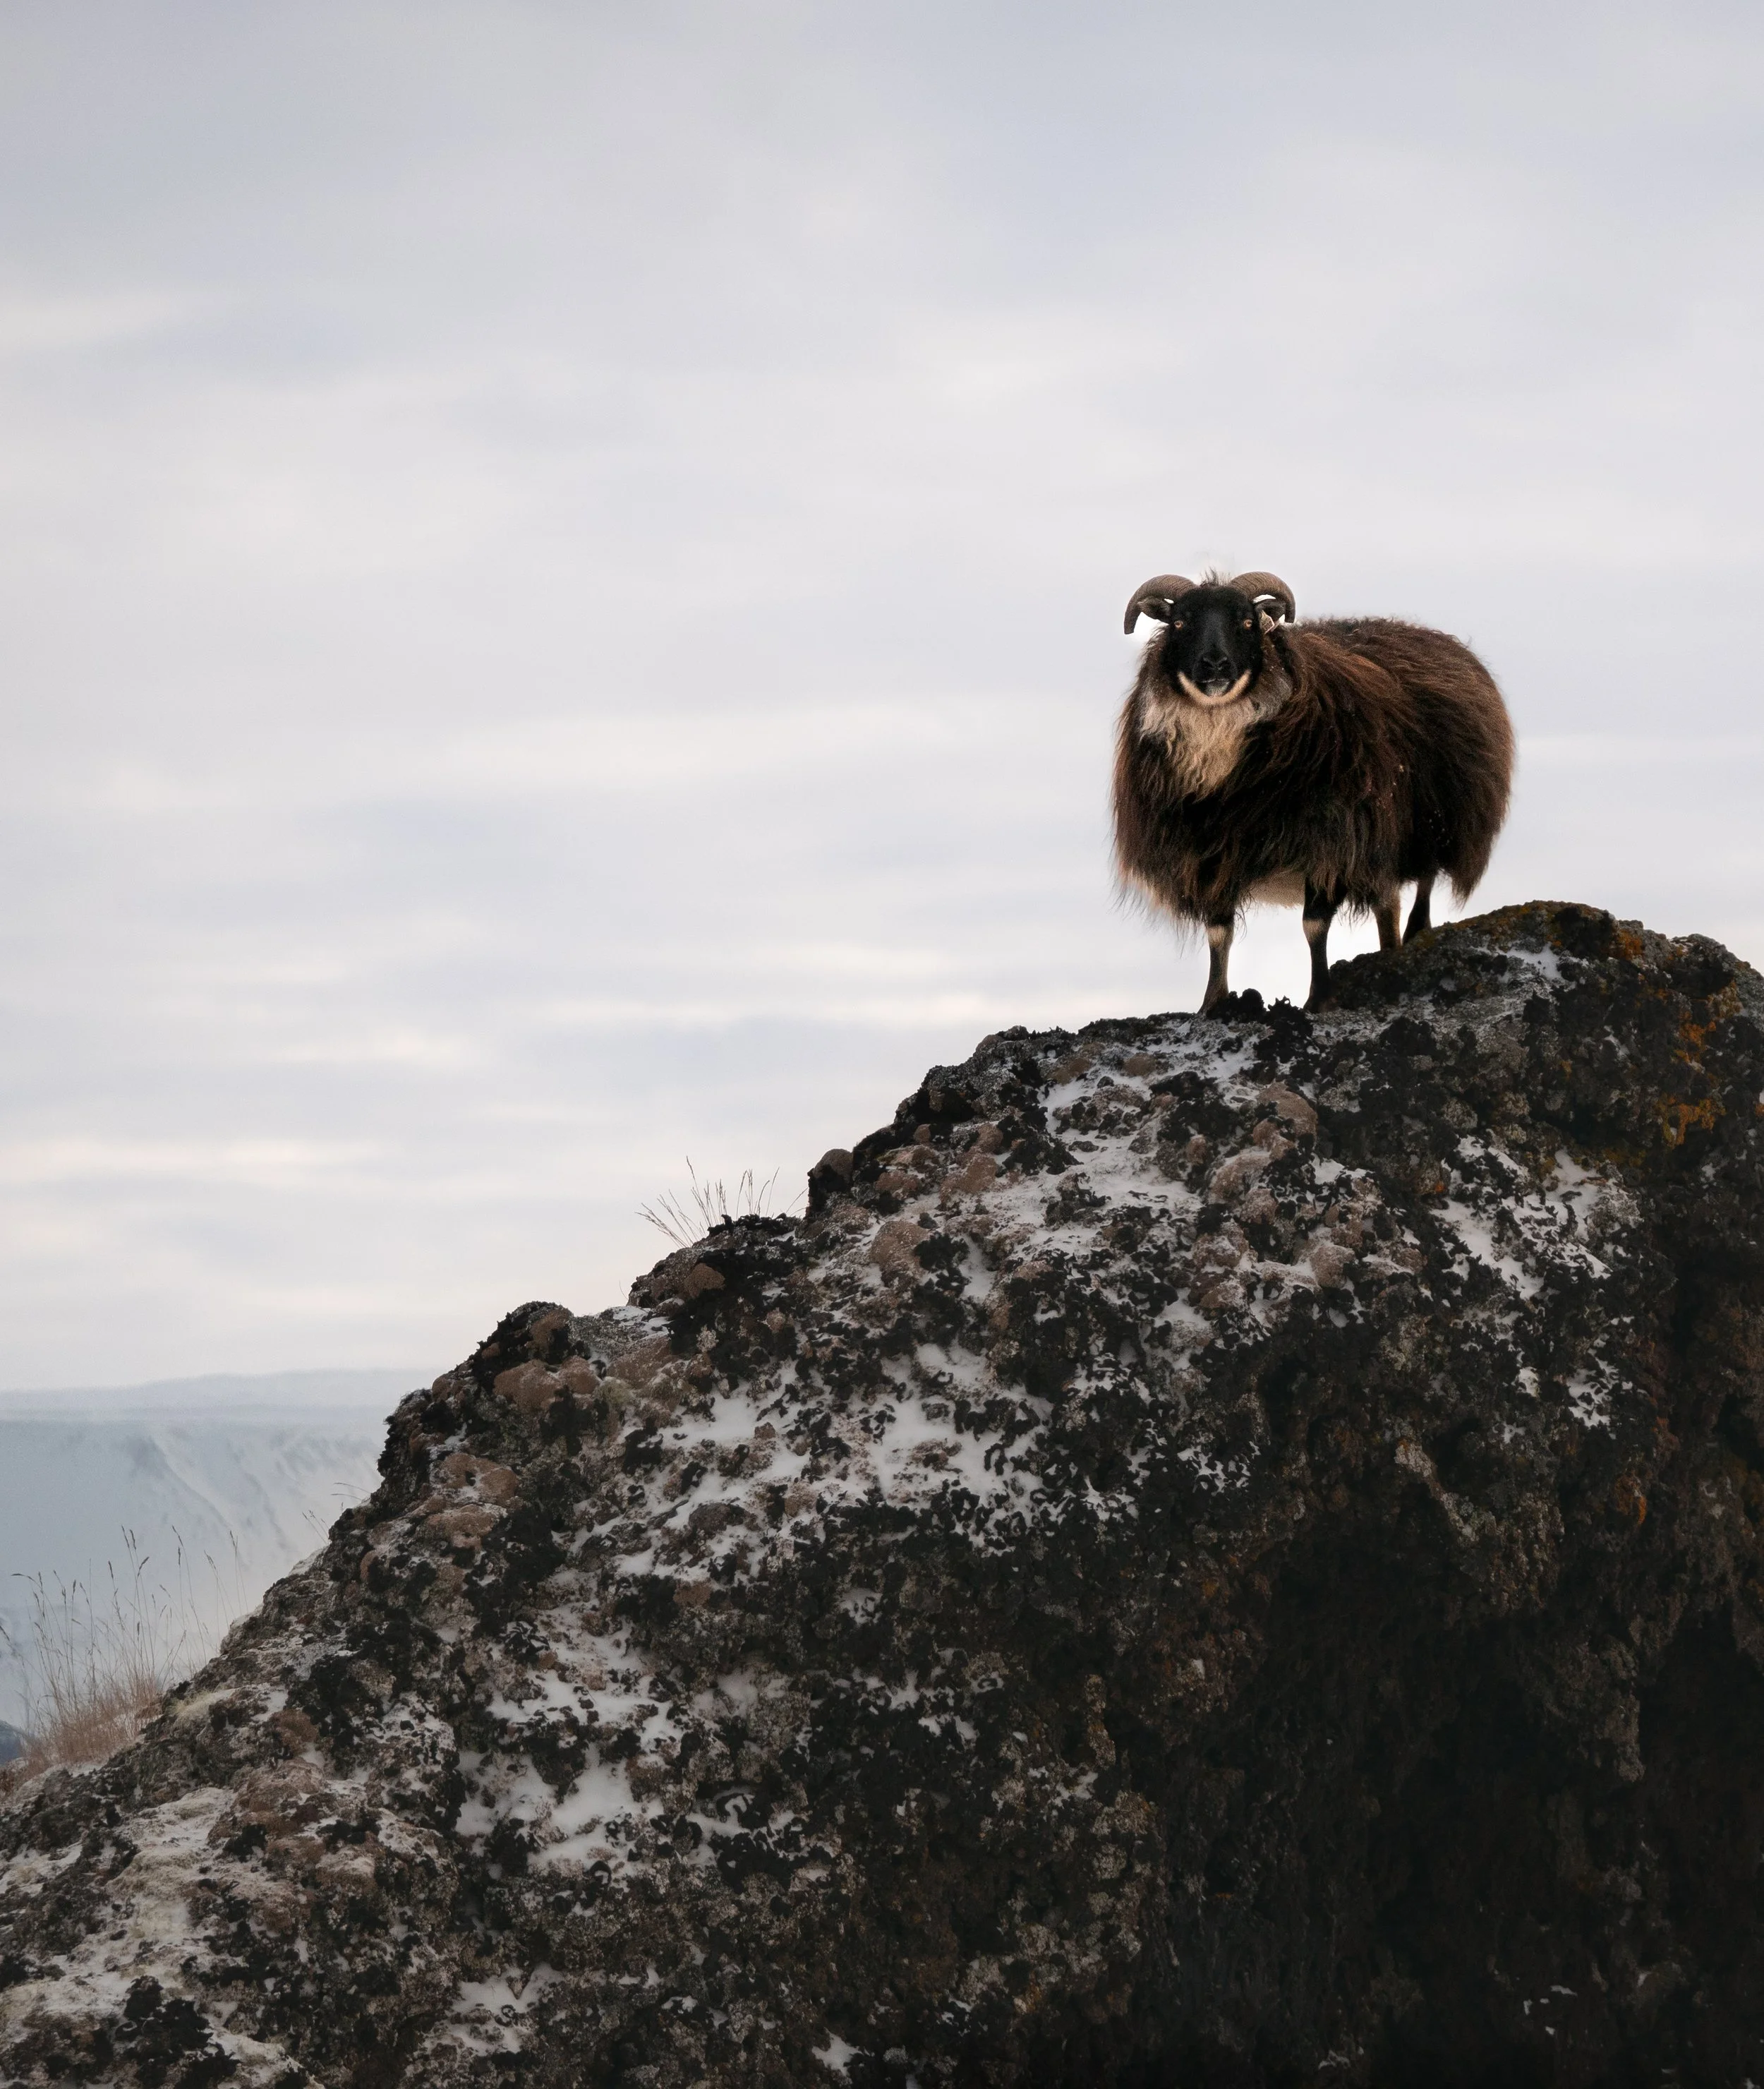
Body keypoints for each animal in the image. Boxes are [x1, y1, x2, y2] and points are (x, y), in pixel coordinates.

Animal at [1114, 569, 1513, 1013]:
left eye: (1247, 623)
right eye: (1180, 623)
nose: (1215, 665)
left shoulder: (1332, 842)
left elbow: (1314, 925)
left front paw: (1319, 996)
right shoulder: (1209, 854)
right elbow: (1219, 933)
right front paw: (1211, 1005)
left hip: (1427, 826)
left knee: (1418, 886)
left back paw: (1409, 942)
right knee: (1387, 902)